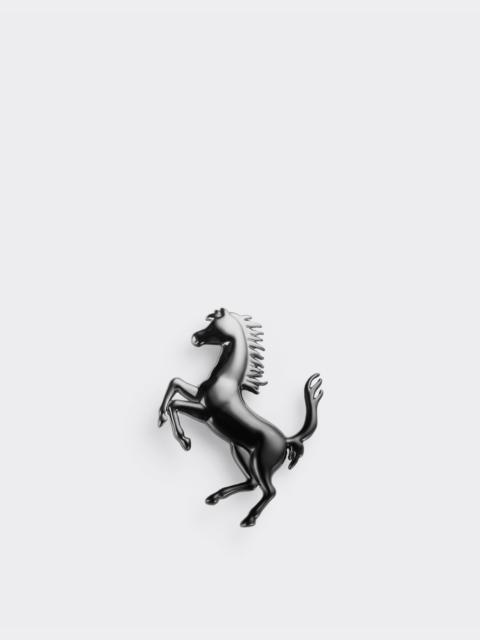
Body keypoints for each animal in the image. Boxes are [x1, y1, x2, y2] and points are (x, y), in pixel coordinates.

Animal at [158, 307, 323, 527]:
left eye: (216, 326)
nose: (195, 338)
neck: (227, 380)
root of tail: (287, 440)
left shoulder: (206, 413)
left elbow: (175, 404)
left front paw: (185, 441)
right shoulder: (198, 396)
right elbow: (174, 382)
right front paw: (160, 418)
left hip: (262, 462)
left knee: (269, 490)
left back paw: (248, 519)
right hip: (238, 449)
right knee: (252, 483)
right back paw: (215, 497)